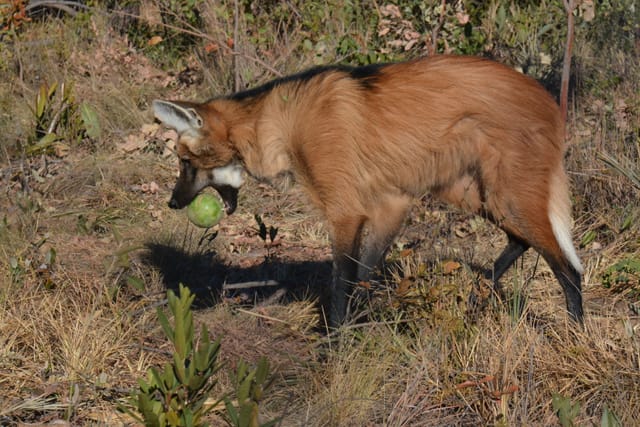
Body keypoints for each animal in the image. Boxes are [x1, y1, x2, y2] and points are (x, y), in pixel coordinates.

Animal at [153, 55, 583, 327]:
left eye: (185, 162)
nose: (172, 202)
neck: (282, 121)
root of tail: (550, 101)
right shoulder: (391, 202)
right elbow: (362, 277)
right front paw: (361, 328)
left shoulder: (346, 211)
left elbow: (342, 281)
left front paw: (336, 347)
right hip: (470, 192)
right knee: (520, 239)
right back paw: (478, 293)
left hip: (504, 192)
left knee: (569, 267)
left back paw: (574, 337)